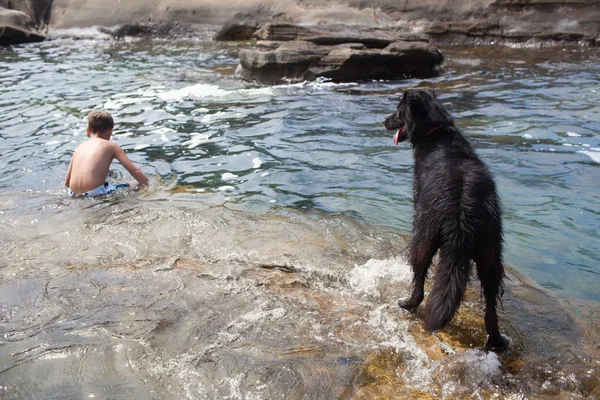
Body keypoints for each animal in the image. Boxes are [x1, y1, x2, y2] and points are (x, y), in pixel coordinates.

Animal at [384, 89, 506, 352]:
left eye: (398, 112)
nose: (383, 122)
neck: (435, 131)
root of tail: (463, 208)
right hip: (490, 248)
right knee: (491, 299)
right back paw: (496, 340)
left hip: (423, 235)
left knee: (419, 278)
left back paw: (408, 304)